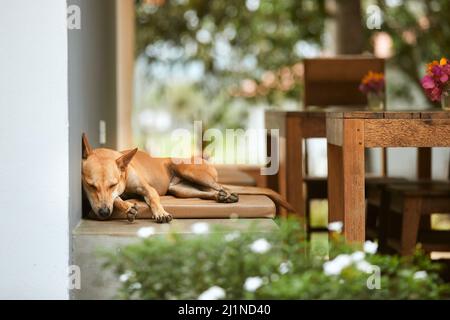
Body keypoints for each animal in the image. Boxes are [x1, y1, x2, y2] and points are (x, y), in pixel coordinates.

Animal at [81, 133, 296, 222]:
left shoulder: (147, 189)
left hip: (190, 171)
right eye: (91, 186)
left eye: (112, 184)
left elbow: (153, 198)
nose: (103, 213)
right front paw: (127, 207)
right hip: (181, 190)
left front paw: (160, 212)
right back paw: (222, 198)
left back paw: (228, 194)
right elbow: (116, 200)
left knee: (219, 186)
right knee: (207, 192)